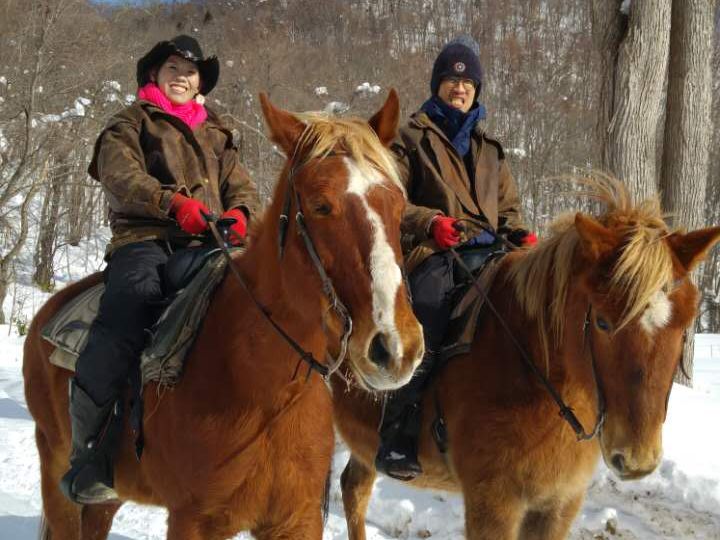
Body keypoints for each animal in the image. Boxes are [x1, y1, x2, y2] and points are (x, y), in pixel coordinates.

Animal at [23, 89, 424, 540]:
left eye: (397, 203)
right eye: (321, 205)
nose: (395, 348)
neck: (264, 391)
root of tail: (48, 313)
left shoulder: (296, 520)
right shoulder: (193, 521)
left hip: (108, 498)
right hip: (56, 472)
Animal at [332, 176, 720, 540]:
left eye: (685, 324)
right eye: (602, 322)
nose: (638, 459)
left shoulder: (559, 503)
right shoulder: (493, 503)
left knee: (354, 489)